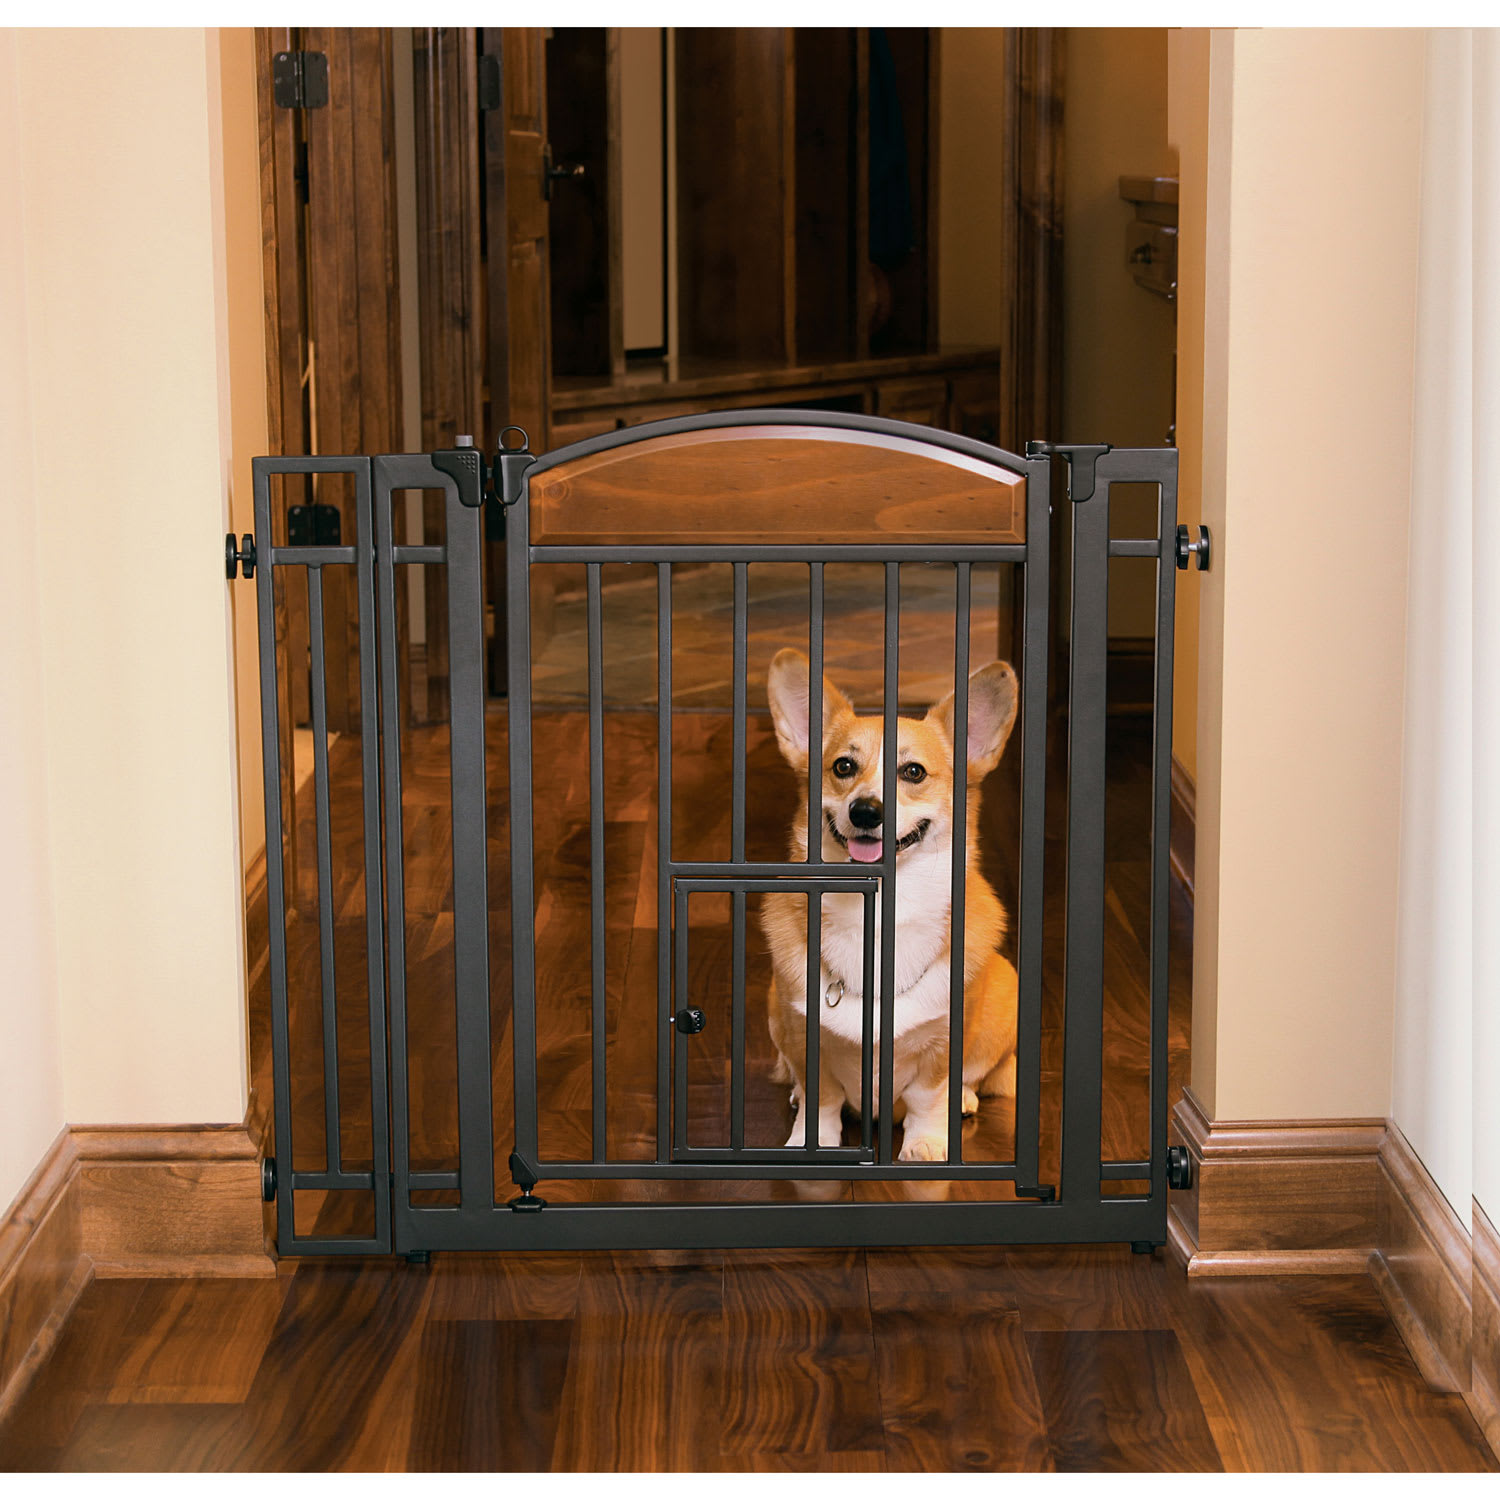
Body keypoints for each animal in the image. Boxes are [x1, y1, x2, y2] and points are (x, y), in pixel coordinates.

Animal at [762, 648, 1020, 1158]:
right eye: (843, 767)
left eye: (913, 771)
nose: (866, 811)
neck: (880, 911)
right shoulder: (803, 1033)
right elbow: (822, 1097)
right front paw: (811, 1140)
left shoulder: (943, 1040)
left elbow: (928, 1095)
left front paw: (924, 1145)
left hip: (1006, 990)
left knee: (978, 1074)